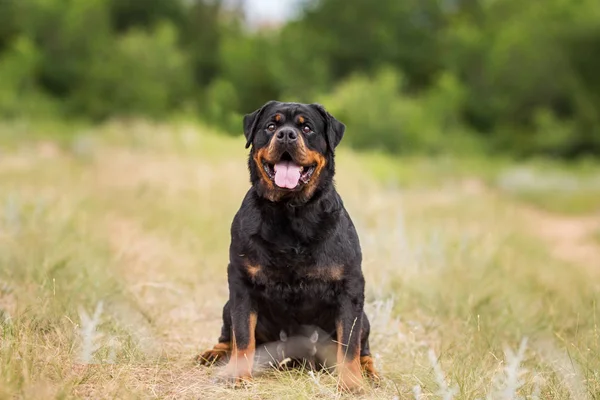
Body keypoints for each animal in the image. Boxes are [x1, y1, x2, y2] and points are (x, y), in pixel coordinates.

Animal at [198, 101, 380, 392]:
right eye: (271, 125)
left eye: (307, 128)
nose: (286, 135)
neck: (291, 212)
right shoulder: (240, 281)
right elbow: (243, 334)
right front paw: (238, 376)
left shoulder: (350, 286)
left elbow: (349, 343)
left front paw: (351, 384)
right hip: (228, 305)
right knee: (229, 335)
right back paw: (213, 355)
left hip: (364, 317)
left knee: (363, 347)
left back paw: (370, 372)